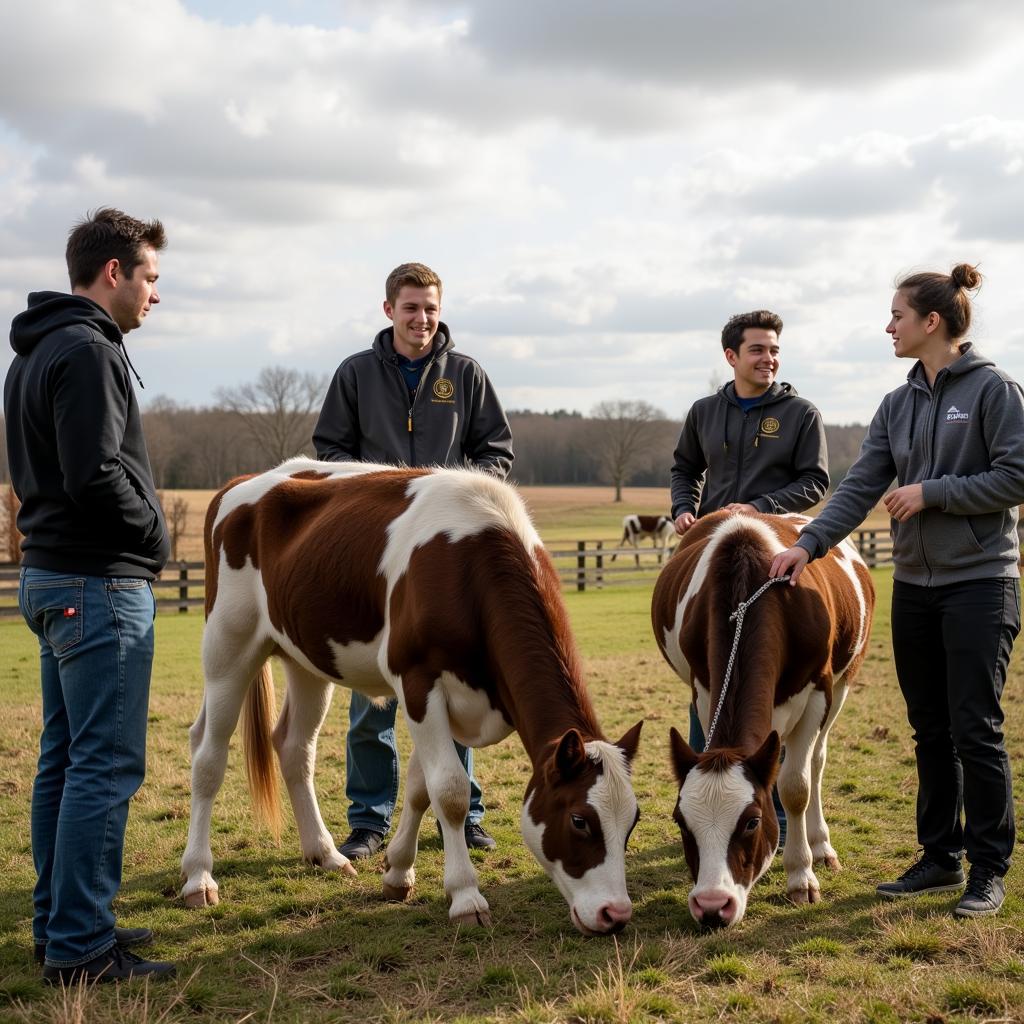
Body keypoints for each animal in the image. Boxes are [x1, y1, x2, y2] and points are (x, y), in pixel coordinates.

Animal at [178, 462, 638, 937]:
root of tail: (240, 483)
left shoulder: (454, 703)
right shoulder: (417, 679)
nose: (616, 913)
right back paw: (198, 877)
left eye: (632, 822)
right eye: (580, 819)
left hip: (305, 657)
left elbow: (421, 787)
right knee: (209, 756)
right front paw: (466, 896)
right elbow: (450, 790)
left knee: (293, 746)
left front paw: (398, 872)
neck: (468, 566)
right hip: (229, 644)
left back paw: (326, 854)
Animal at [651, 512, 876, 929]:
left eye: (752, 822)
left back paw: (820, 845)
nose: (712, 906)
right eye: (680, 821)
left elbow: (795, 787)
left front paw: (801, 876)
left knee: (816, 763)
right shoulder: (704, 688)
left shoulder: (819, 691)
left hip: (844, 681)